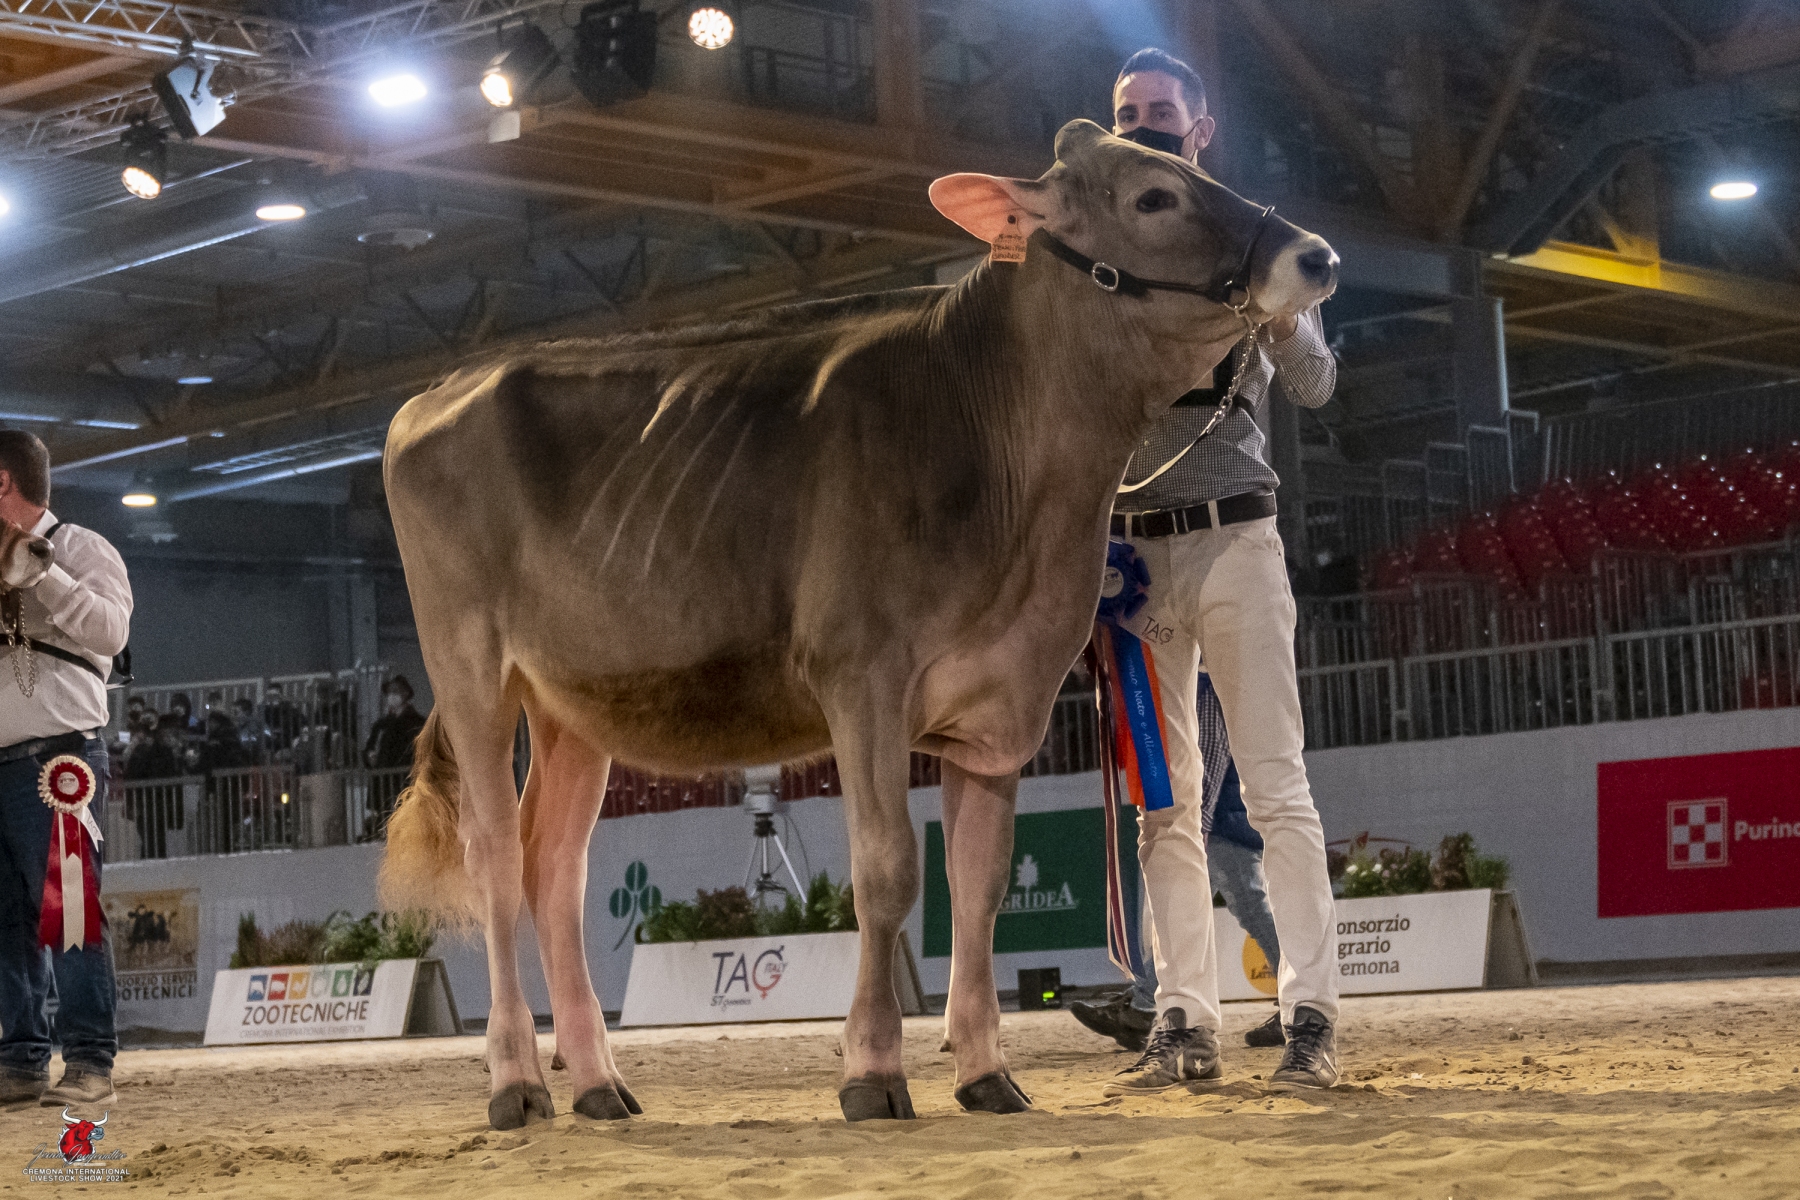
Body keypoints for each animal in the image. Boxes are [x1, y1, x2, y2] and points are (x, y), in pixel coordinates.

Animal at [379, 118, 1337, 1130]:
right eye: (1155, 197)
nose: (1315, 255)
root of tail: (439, 389)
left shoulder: (1005, 702)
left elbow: (980, 886)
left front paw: (986, 1073)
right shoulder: (862, 680)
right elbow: (887, 873)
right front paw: (873, 1071)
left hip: (573, 700)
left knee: (553, 864)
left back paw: (600, 1083)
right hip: (471, 666)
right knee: (493, 858)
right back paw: (517, 1083)